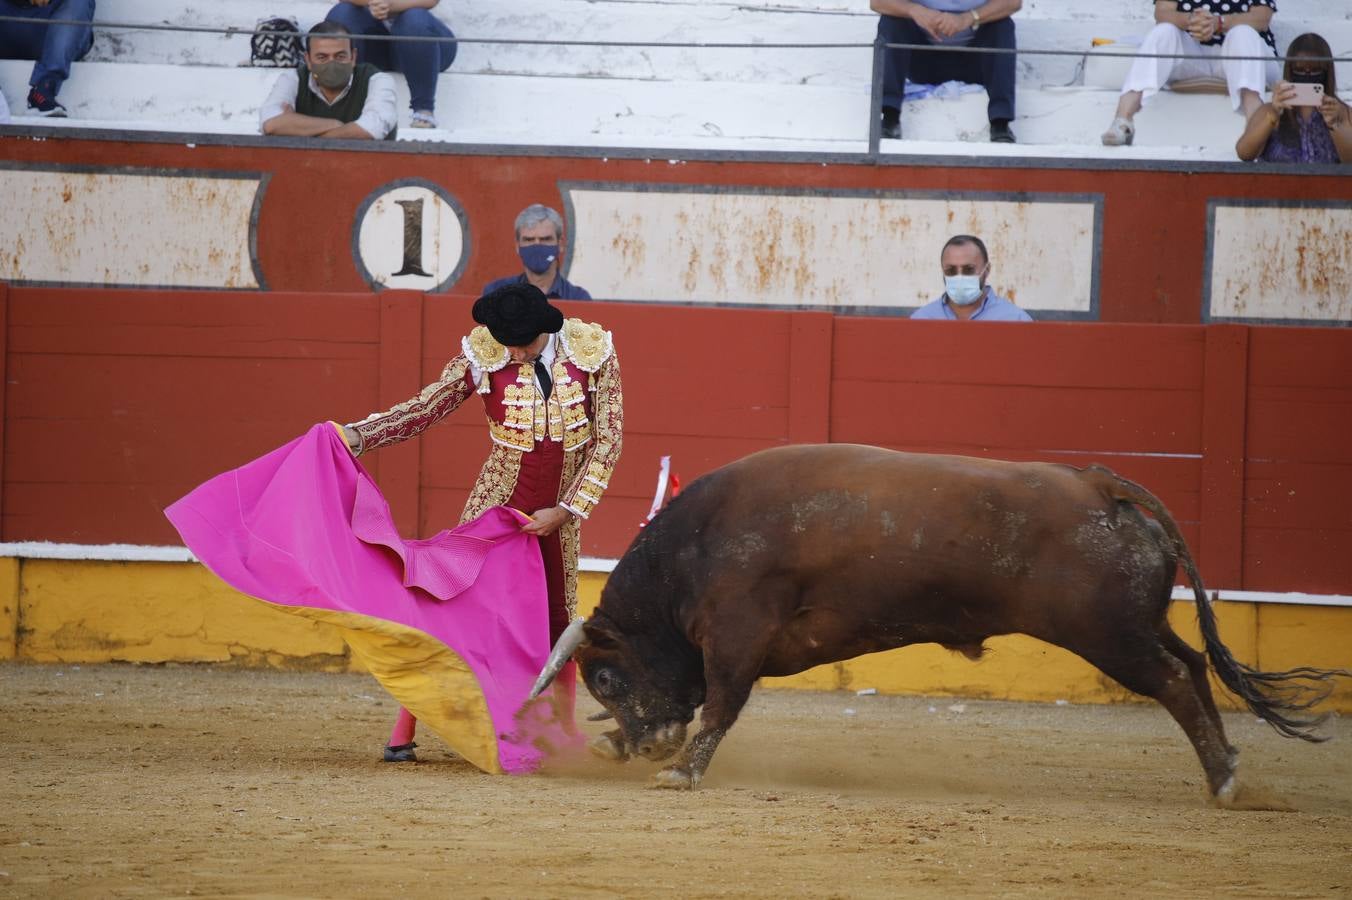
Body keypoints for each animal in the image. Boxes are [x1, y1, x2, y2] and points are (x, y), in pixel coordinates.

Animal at [527, 440, 1341, 800]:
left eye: (605, 678)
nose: (637, 746)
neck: (693, 547)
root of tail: (1097, 484)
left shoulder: (737, 634)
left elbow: (722, 703)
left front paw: (684, 772)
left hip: (1109, 634)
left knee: (1173, 678)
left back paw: (1224, 780)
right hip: (1138, 622)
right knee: (1195, 666)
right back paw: (1226, 765)